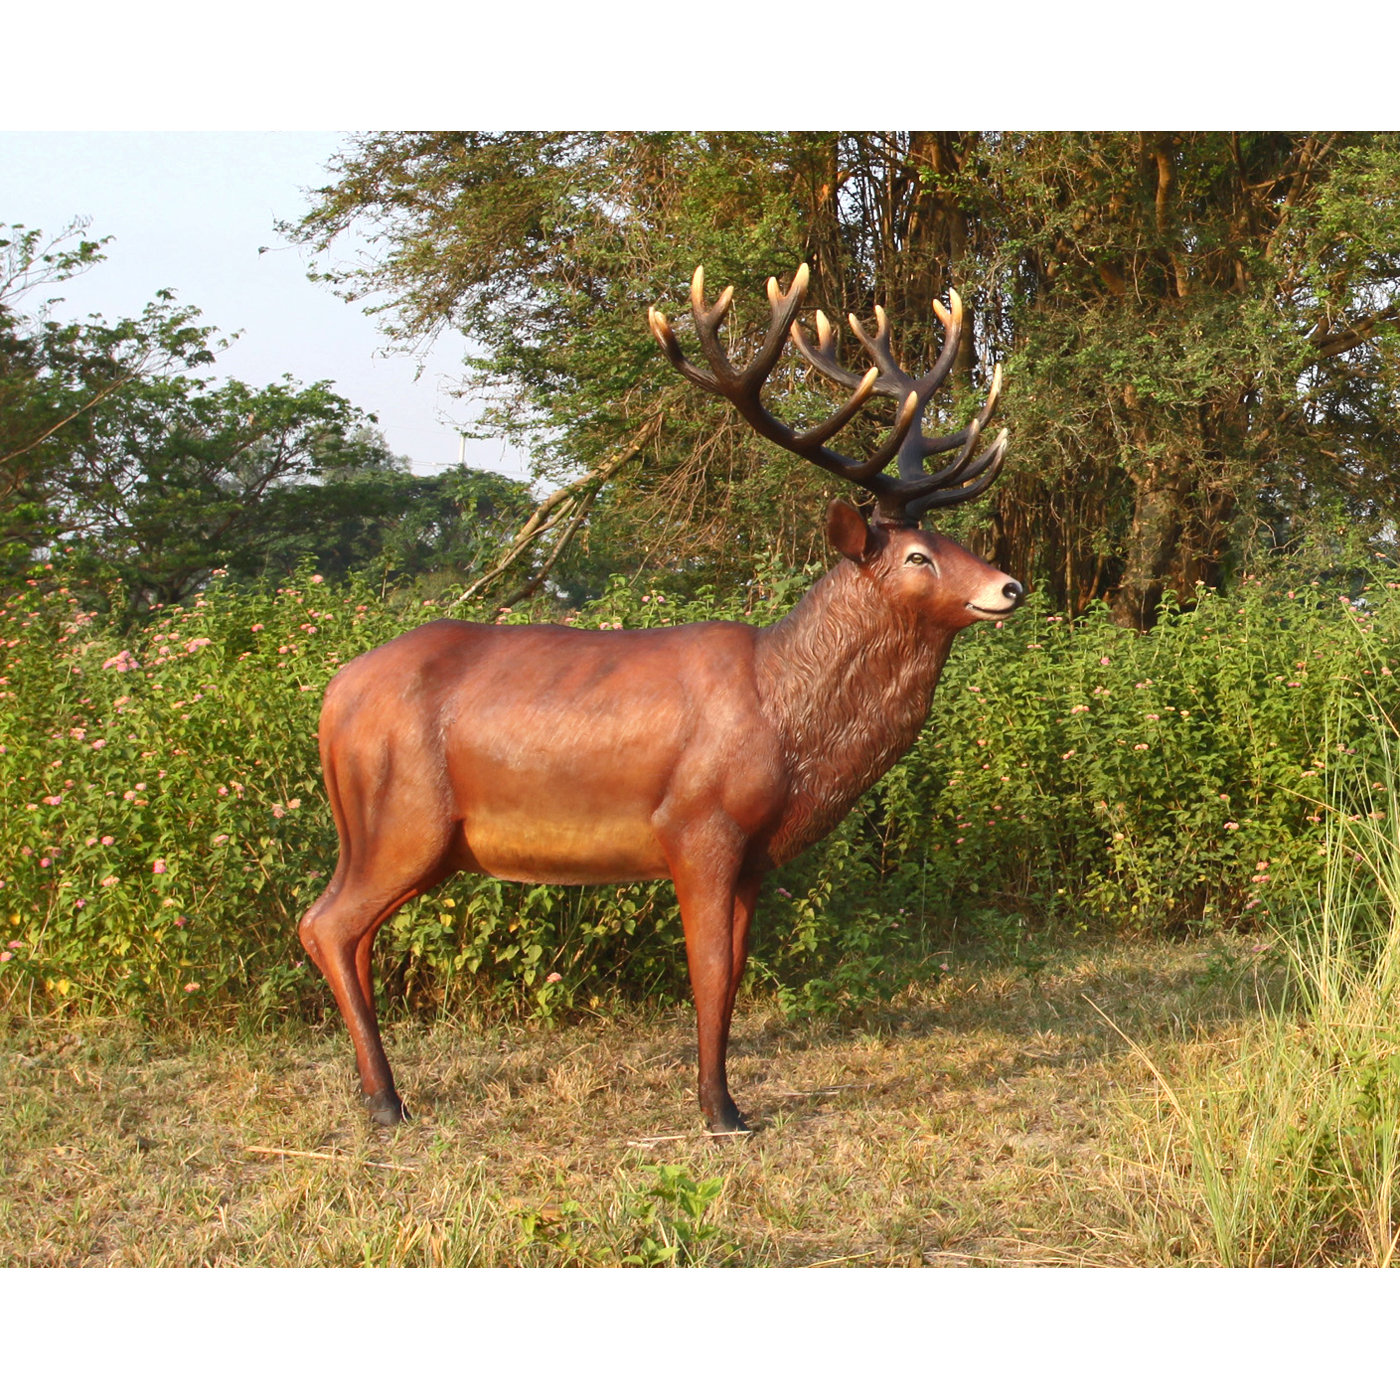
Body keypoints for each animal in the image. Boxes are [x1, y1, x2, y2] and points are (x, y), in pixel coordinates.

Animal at [297, 264, 1024, 1134]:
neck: (786, 718)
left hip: (382, 828)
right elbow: (708, 971)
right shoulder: (697, 823)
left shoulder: (753, 854)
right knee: (326, 924)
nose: (1009, 587)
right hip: (404, 816)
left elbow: (735, 971)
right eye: (918, 556)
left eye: (955, 539)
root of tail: (332, 697)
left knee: (334, 925)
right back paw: (386, 1100)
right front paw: (719, 1110)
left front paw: (724, 1097)